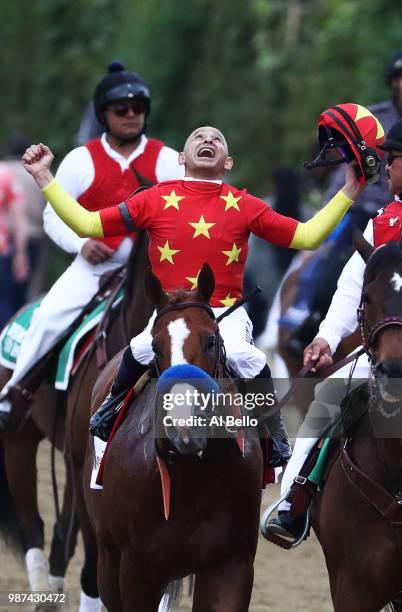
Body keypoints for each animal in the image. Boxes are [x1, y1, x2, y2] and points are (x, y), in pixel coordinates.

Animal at [83, 264, 262, 612]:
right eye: (155, 347)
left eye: (210, 341)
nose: (184, 428)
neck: (192, 475)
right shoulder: (135, 567)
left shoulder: (232, 563)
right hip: (108, 561)